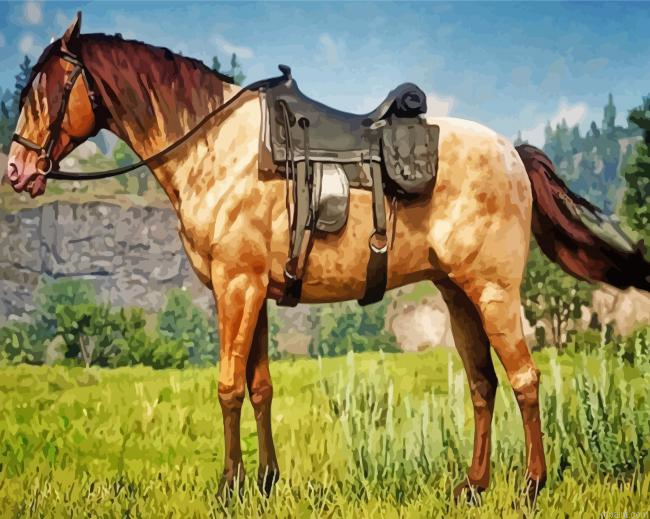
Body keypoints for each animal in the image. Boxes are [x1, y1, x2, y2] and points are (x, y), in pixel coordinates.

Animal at [6, 13, 649, 504]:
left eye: (47, 89)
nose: (17, 170)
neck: (212, 146)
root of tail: (512, 153)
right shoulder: (252, 291)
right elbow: (260, 386)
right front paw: (265, 481)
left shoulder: (235, 286)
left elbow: (228, 387)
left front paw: (229, 487)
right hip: (457, 294)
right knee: (483, 385)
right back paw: (473, 485)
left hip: (493, 292)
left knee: (524, 380)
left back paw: (531, 486)